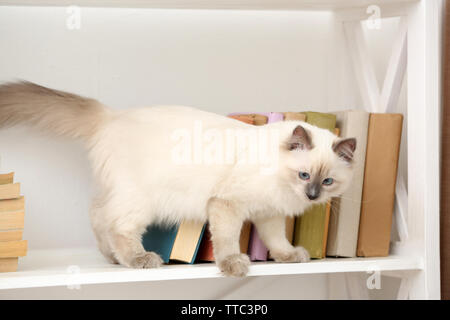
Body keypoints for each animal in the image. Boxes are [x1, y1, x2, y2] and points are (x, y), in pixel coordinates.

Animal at [0, 81, 358, 276]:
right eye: (304, 175)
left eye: (327, 182)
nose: (312, 195)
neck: (281, 183)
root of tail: (112, 116)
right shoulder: (228, 204)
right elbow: (227, 240)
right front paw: (233, 264)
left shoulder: (269, 214)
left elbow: (277, 241)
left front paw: (290, 257)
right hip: (140, 201)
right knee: (116, 225)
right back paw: (139, 259)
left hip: (121, 194)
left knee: (97, 213)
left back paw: (111, 258)